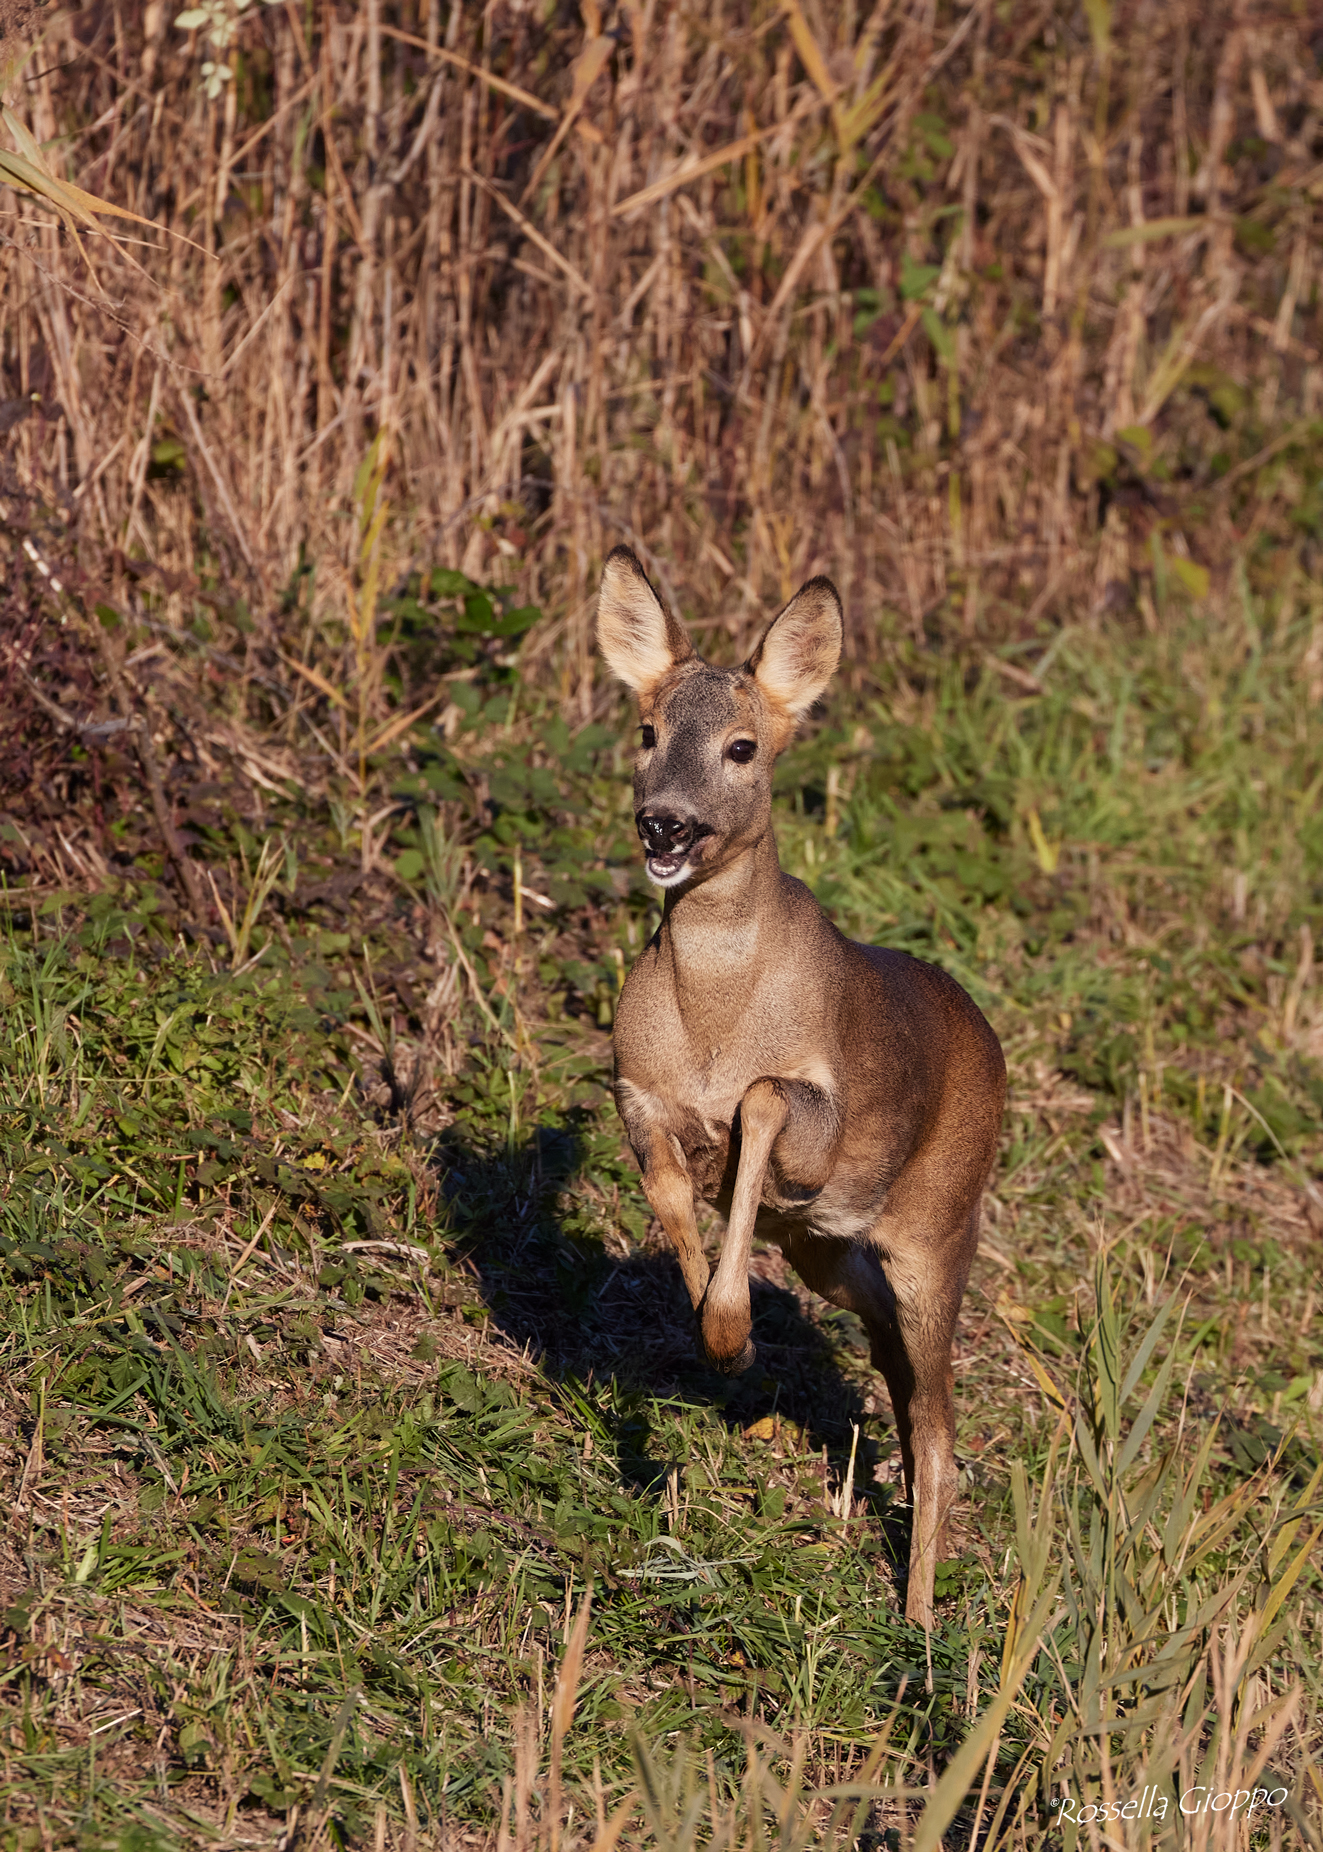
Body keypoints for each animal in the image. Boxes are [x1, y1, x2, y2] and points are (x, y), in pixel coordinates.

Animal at [596, 546, 1007, 1629]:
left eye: (742, 746)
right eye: (646, 731)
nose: (664, 823)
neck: (714, 1015)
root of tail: (991, 1039)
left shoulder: (819, 1116)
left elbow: (762, 1102)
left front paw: (730, 1324)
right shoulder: (634, 1091)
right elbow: (669, 1190)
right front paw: (722, 1337)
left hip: (938, 1231)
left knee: (941, 1430)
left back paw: (919, 1625)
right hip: (833, 1253)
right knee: (898, 1377)